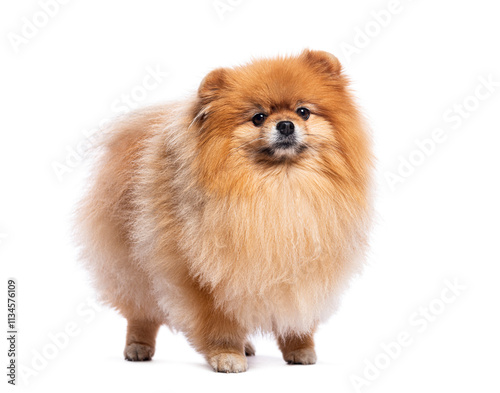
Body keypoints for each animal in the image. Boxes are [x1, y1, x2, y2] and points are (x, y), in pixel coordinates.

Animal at [76, 49, 374, 370]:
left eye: (303, 111)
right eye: (258, 117)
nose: (285, 124)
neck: (281, 187)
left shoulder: (303, 271)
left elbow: (297, 315)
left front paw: (300, 347)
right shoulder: (205, 278)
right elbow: (220, 323)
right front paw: (226, 354)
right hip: (135, 270)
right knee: (141, 313)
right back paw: (138, 347)